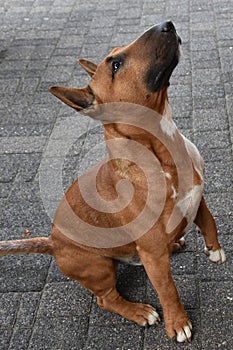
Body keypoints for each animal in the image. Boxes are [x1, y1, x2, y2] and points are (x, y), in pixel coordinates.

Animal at [0, 21, 226, 342]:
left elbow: (209, 220)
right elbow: (167, 290)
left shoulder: (198, 196)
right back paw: (139, 311)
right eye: (116, 65)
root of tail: (53, 242)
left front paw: (215, 251)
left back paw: (175, 244)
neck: (164, 150)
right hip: (99, 268)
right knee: (106, 299)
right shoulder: (153, 255)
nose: (167, 24)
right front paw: (178, 323)